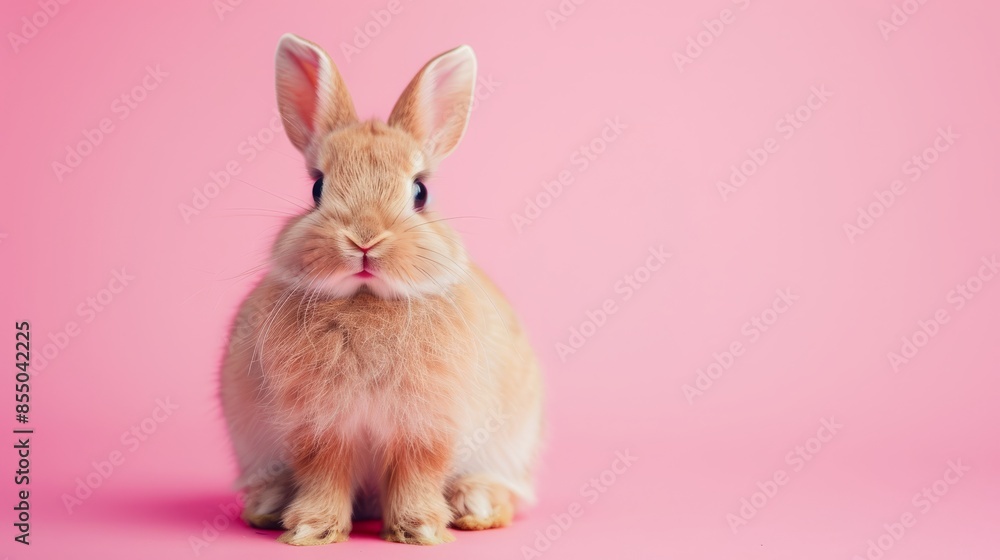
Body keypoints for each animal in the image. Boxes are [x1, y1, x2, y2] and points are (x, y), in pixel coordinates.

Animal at [219, 33, 544, 546]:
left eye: (420, 193)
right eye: (317, 188)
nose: (364, 238)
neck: (367, 301)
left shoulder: (426, 426)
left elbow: (417, 473)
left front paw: (421, 529)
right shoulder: (319, 427)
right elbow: (324, 473)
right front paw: (312, 529)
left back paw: (475, 505)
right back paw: (268, 506)